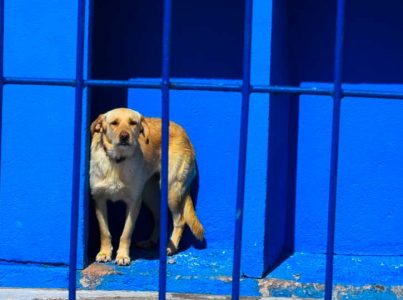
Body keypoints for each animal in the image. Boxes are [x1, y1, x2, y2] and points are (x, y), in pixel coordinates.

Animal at [89, 107, 204, 264]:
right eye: (114, 123)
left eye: (133, 123)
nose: (124, 136)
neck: (117, 161)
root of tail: (185, 134)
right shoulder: (99, 199)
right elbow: (104, 231)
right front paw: (105, 253)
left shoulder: (133, 203)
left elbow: (126, 233)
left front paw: (123, 255)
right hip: (150, 194)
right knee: (159, 217)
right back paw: (151, 242)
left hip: (171, 190)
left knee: (180, 220)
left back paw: (171, 247)